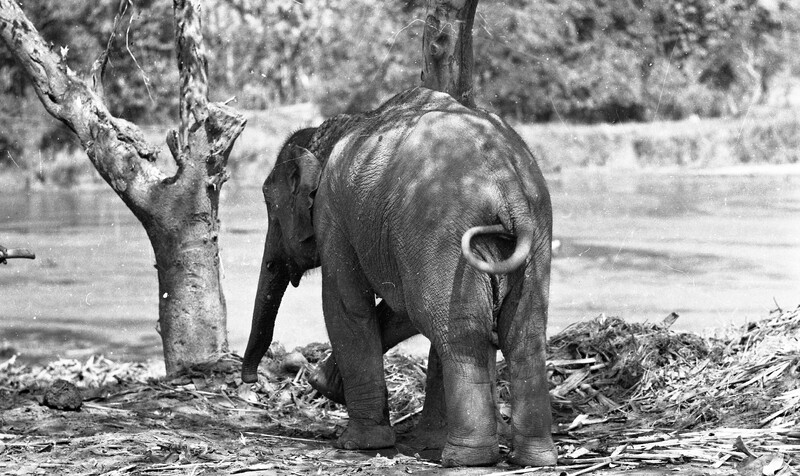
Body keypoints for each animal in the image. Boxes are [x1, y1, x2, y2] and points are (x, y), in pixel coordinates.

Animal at [241, 87, 556, 467]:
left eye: (268, 203)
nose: (250, 381)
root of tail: (509, 188)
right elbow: (399, 309)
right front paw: (326, 384)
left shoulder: (333, 216)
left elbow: (346, 304)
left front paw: (356, 441)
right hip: (534, 239)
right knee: (523, 334)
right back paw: (534, 459)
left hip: (444, 235)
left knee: (458, 334)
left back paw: (466, 458)